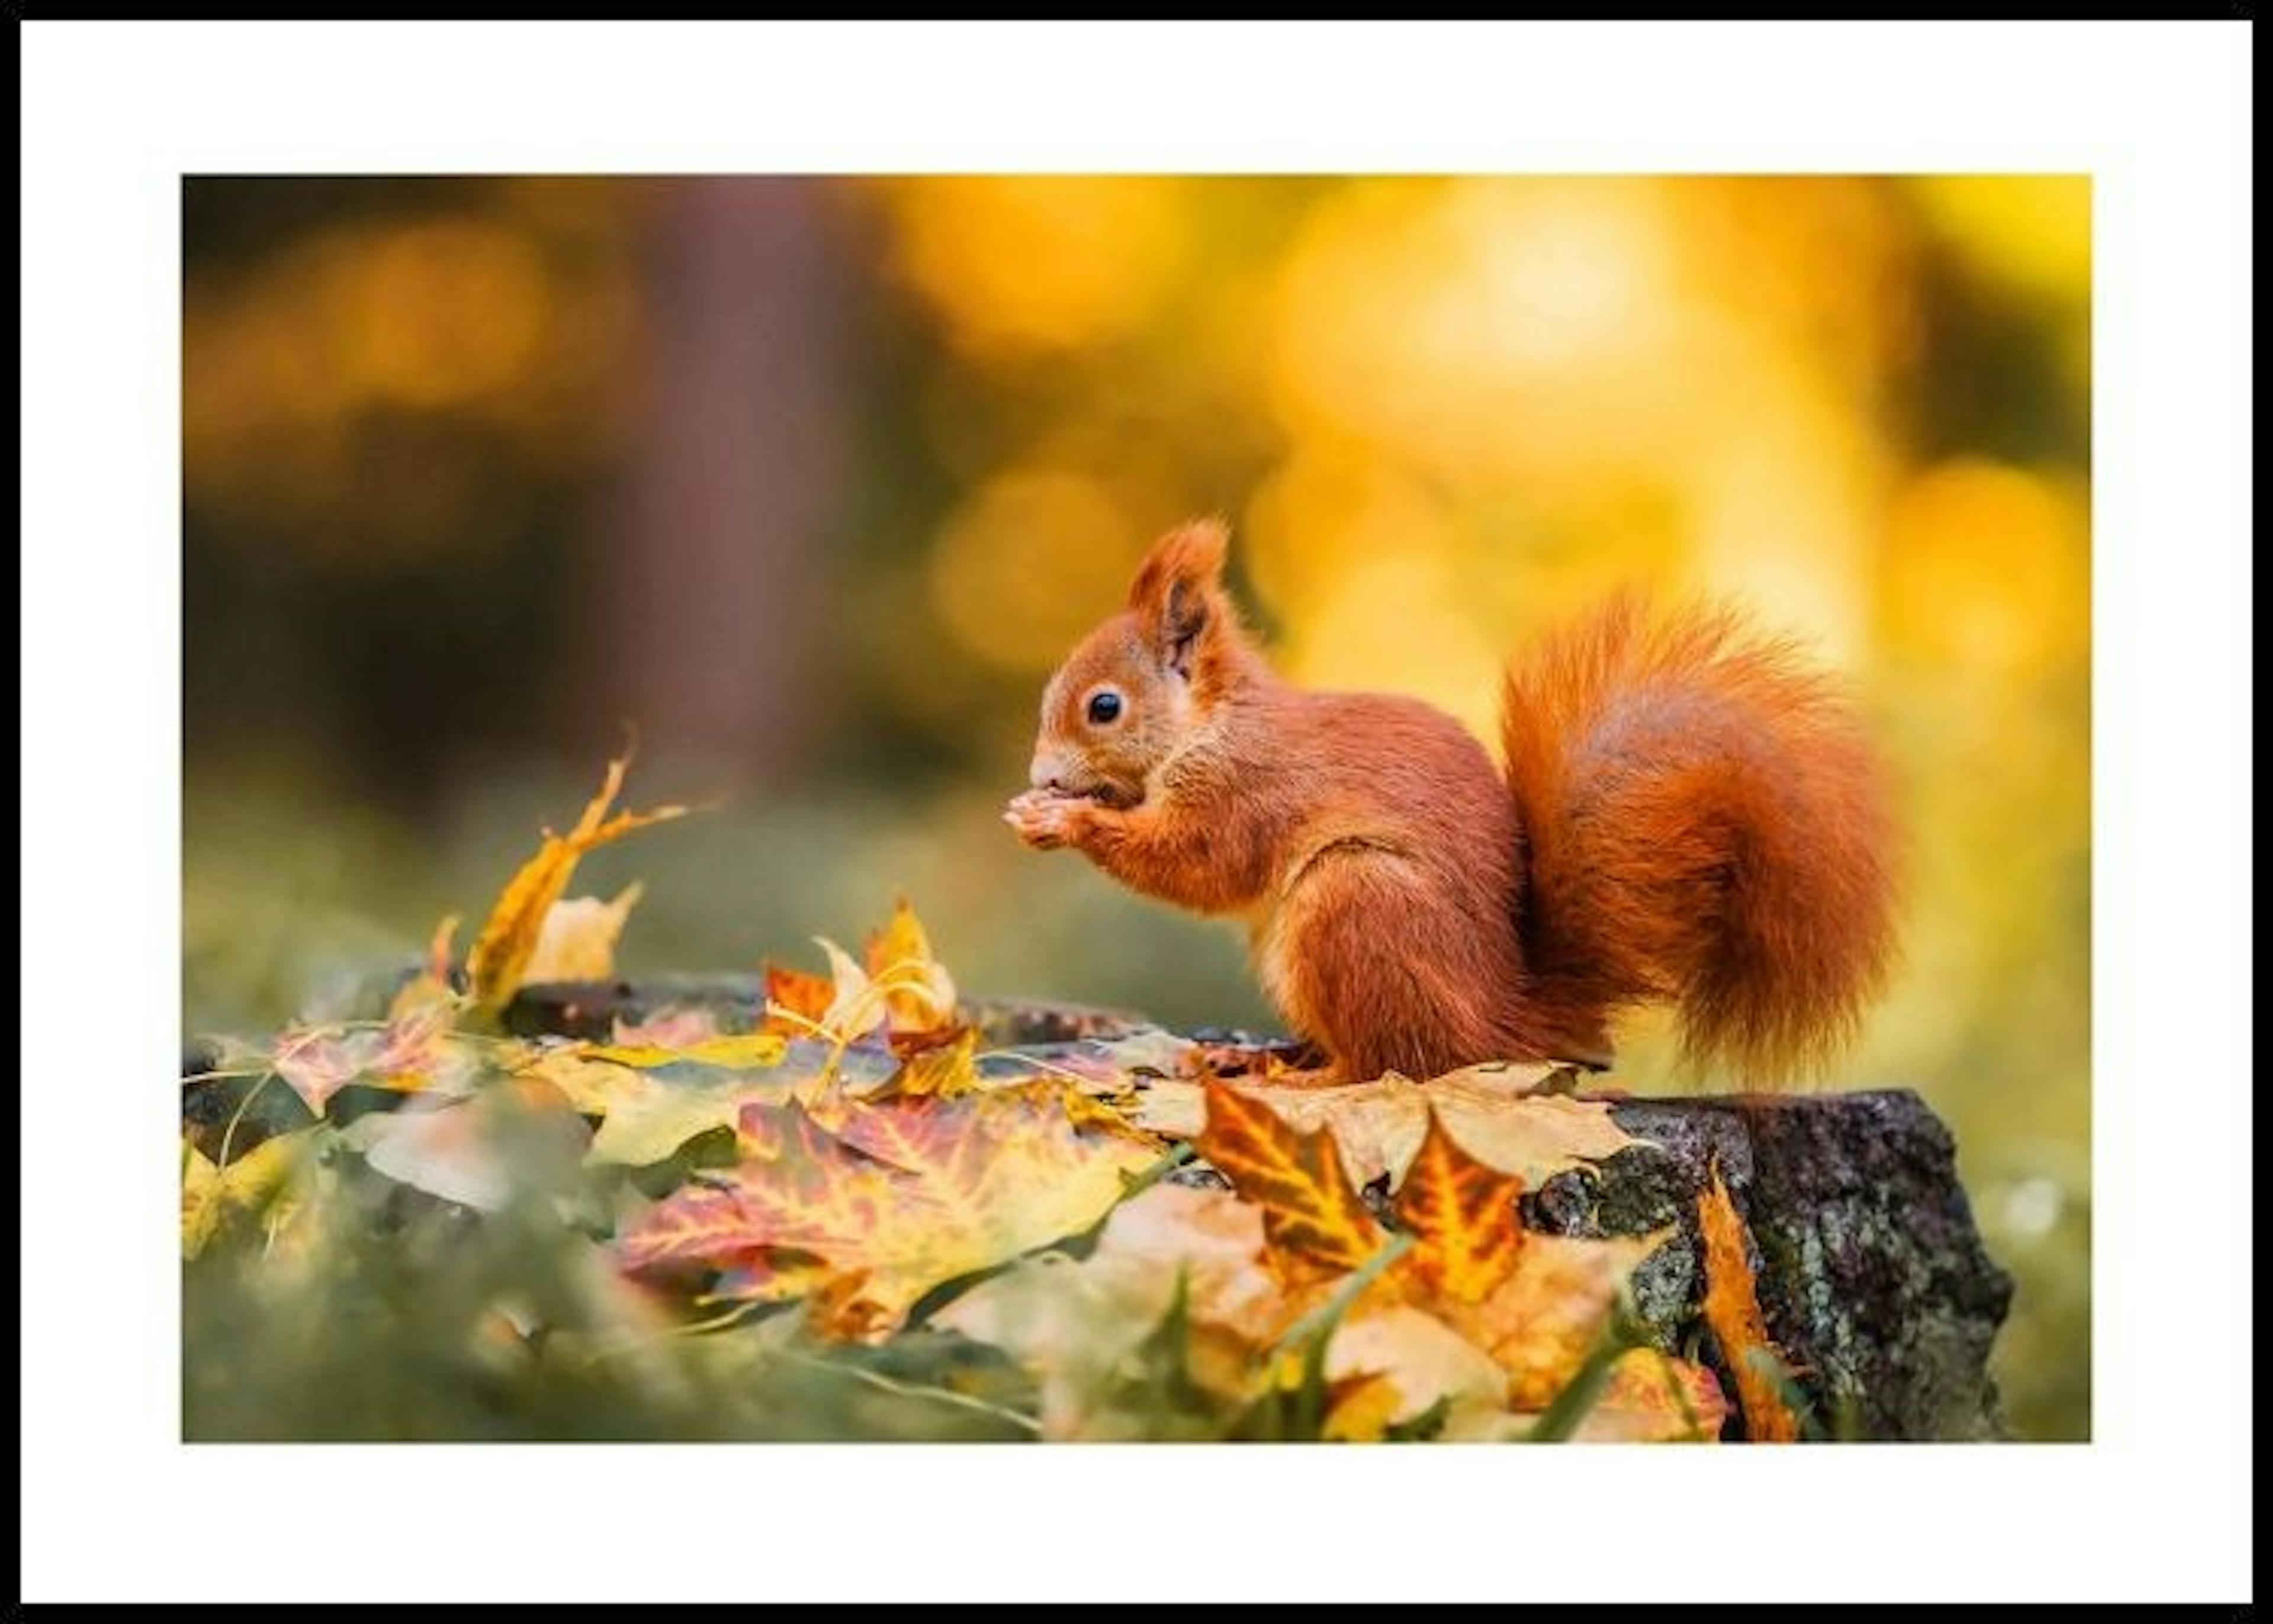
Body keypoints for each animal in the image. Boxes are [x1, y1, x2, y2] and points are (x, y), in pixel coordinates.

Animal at [1009, 515, 1900, 1085]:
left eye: (1103, 707)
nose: (1043, 776)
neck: (1212, 723)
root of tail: (1501, 1023)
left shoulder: (1246, 788)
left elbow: (1198, 864)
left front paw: (1065, 819)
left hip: (1355, 903)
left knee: (1394, 1063)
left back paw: (1308, 1078)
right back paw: (1259, 1056)